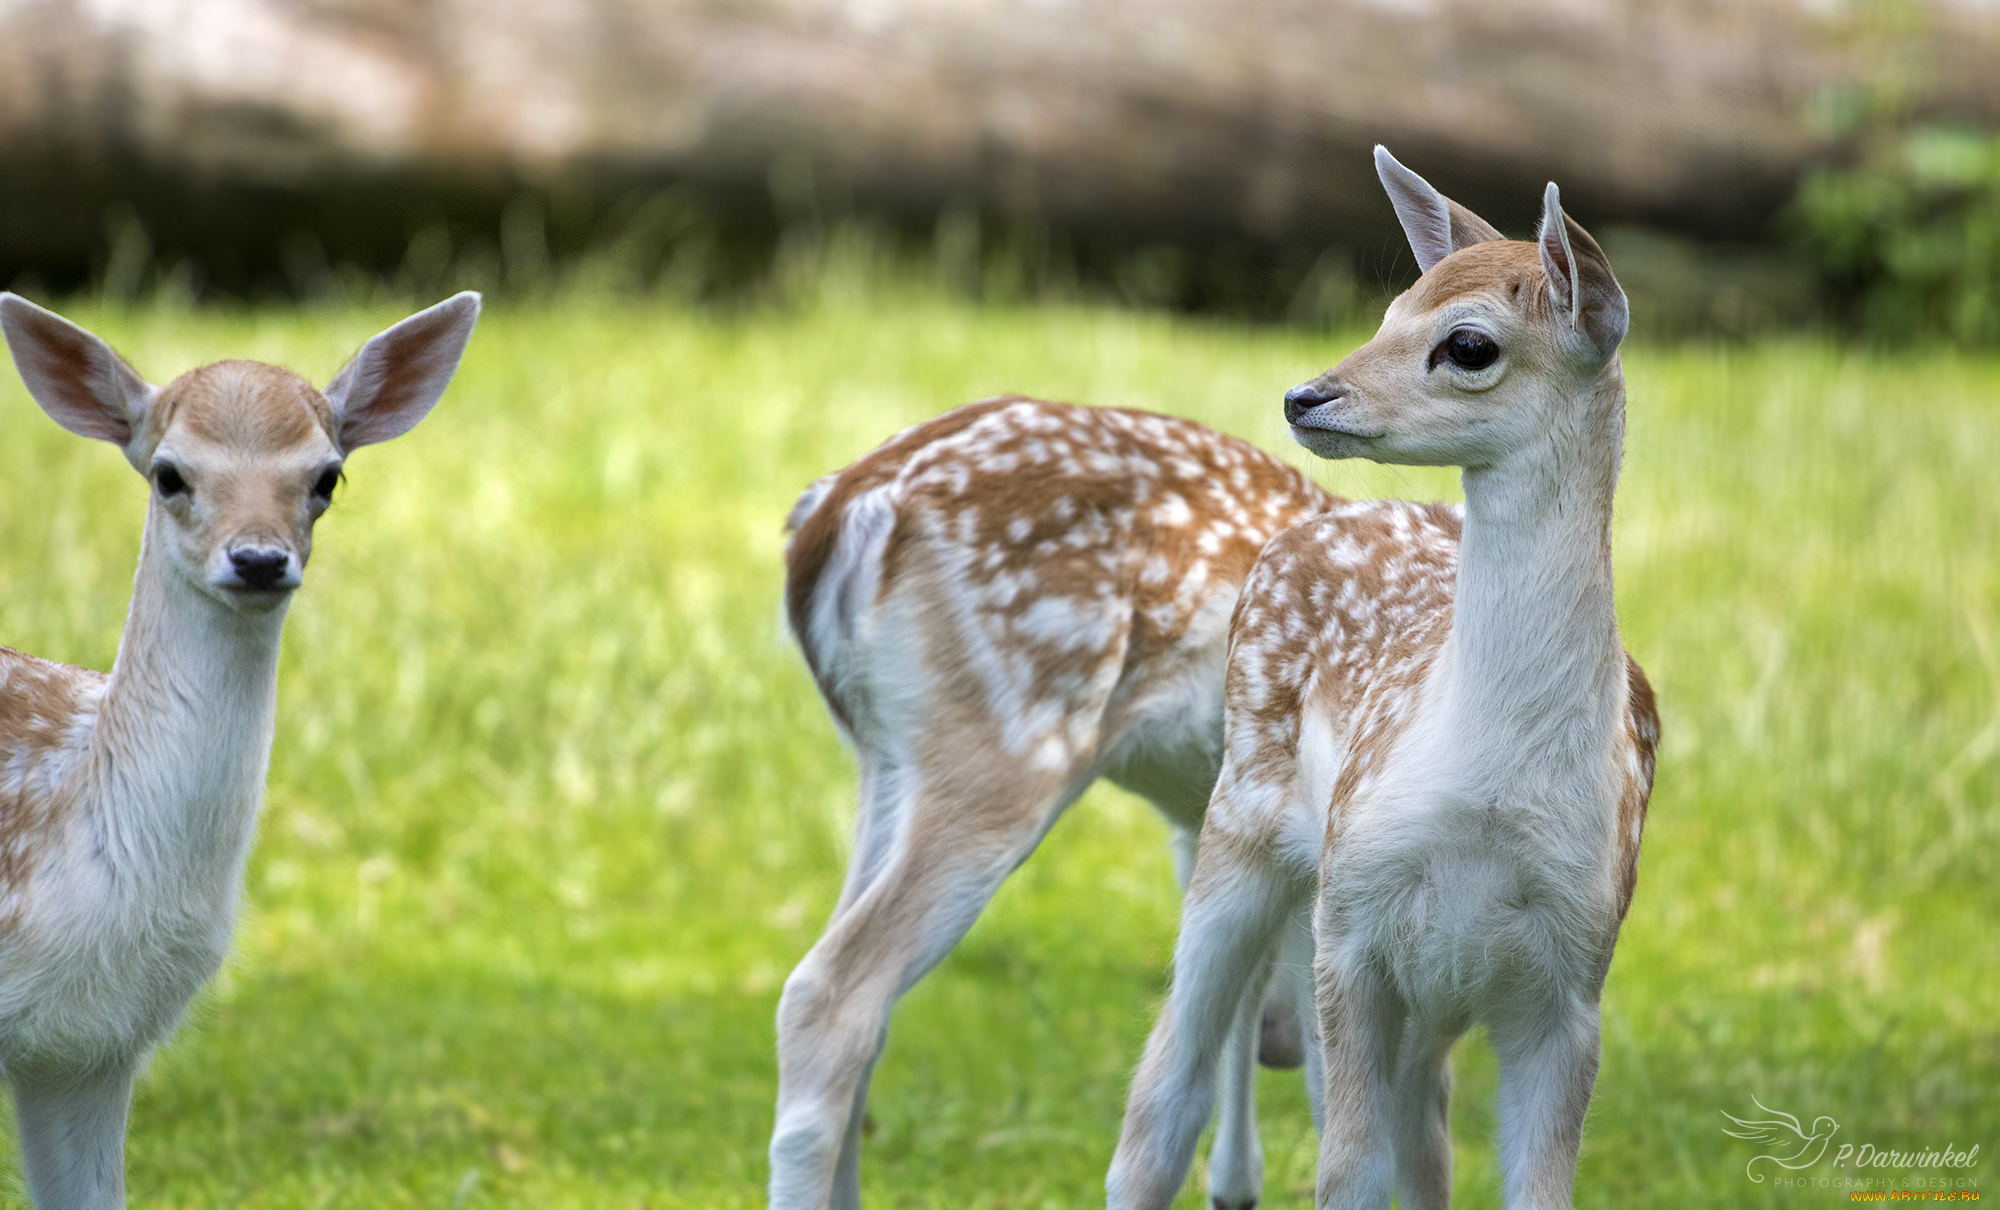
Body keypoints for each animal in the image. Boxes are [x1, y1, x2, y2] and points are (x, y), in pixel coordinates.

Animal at [1112, 151, 1656, 1208]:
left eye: (1469, 344)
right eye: (1392, 308)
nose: (1305, 396)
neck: (1488, 791)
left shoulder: (1573, 978)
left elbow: (1527, 1188)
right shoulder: (1355, 927)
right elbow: (1346, 1175)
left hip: (1430, 997)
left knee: (1426, 1146)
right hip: (1242, 823)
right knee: (1161, 1100)